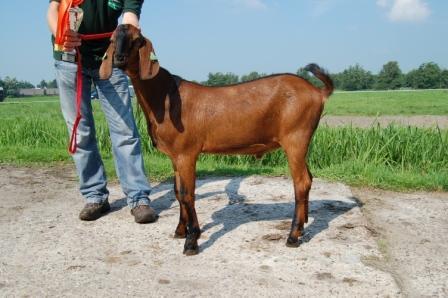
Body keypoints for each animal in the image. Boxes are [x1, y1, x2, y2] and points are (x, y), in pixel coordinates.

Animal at [100, 24, 332, 255]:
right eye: (112, 40)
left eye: (137, 39)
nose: (119, 58)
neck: (166, 96)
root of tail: (318, 92)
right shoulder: (175, 156)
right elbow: (177, 192)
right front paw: (180, 230)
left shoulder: (187, 153)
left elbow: (187, 194)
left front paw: (192, 240)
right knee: (309, 179)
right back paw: (302, 227)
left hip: (295, 138)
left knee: (301, 182)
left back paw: (292, 236)